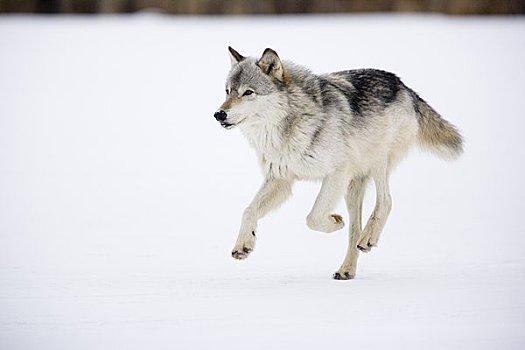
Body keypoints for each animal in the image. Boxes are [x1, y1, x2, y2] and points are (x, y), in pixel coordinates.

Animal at [214, 46, 462, 280]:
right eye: (227, 91)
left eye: (248, 92)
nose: (219, 114)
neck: (286, 129)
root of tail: (403, 85)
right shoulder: (280, 180)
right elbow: (248, 210)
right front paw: (243, 245)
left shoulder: (337, 172)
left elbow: (313, 217)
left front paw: (334, 221)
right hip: (352, 189)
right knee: (355, 231)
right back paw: (347, 269)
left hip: (376, 161)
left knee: (386, 202)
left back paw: (368, 238)